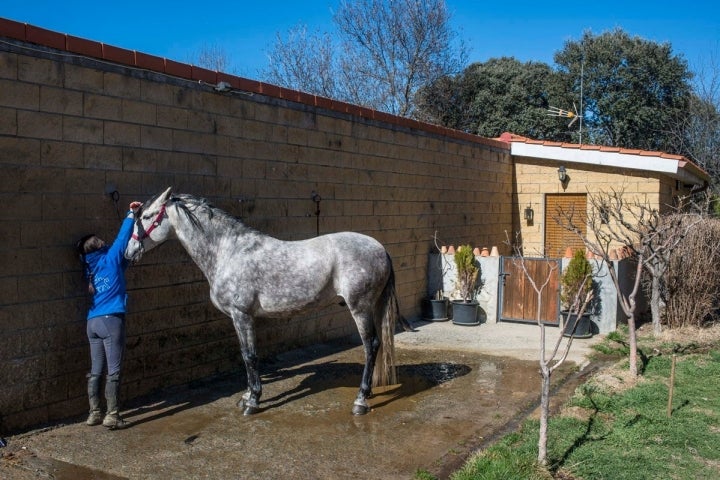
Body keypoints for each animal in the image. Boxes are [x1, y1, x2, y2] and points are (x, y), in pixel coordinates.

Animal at [124, 189, 410, 414]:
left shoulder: (242, 315)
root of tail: (380, 248)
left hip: (359, 308)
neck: (228, 251)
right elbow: (246, 354)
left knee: (371, 345)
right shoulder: (241, 317)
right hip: (372, 306)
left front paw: (253, 401)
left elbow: (249, 356)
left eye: (147, 217)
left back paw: (360, 401)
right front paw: (247, 396)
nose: (129, 252)